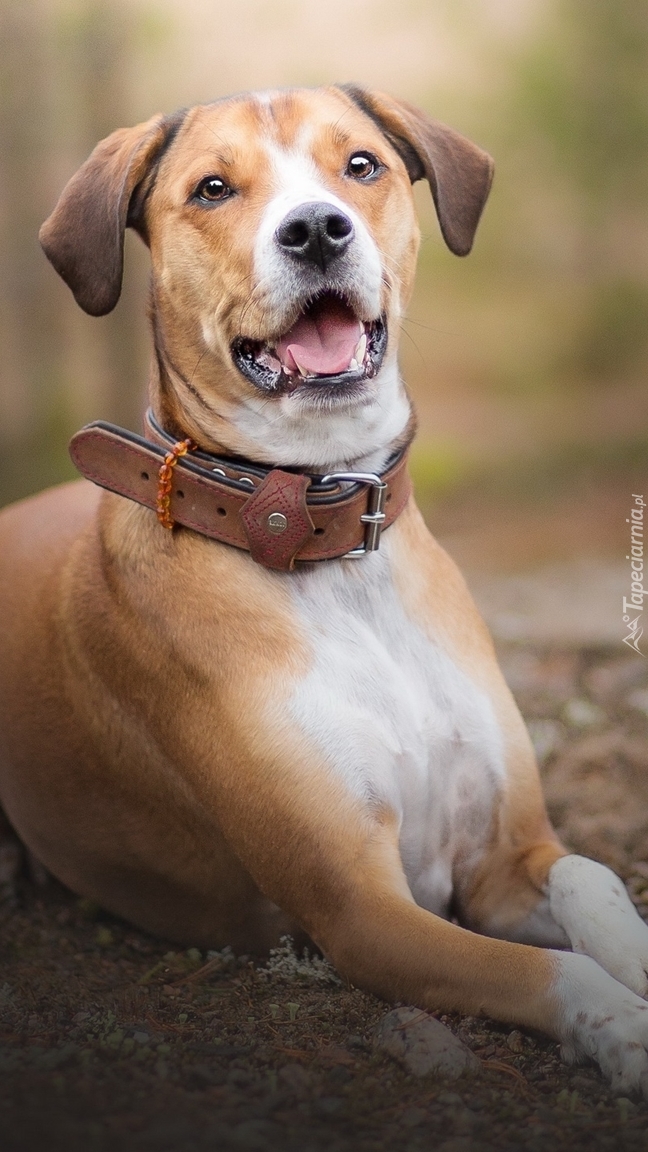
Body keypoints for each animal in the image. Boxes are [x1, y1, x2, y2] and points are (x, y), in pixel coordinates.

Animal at [1, 85, 645, 1092]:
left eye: (361, 166)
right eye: (213, 187)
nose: (314, 229)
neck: (335, 547)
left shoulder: (503, 857)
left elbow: (593, 877)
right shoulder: (361, 911)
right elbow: (551, 971)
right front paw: (629, 1028)